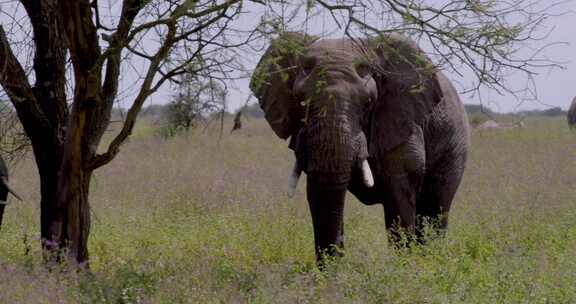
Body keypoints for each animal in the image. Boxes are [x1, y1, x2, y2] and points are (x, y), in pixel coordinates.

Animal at [250, 32, 470, 262]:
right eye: (302, 102)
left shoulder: (401, 121)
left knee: (435, 207)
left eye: (368, 103)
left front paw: (405, 265)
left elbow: (400, 194)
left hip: (454, 145)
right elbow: (319, 194)